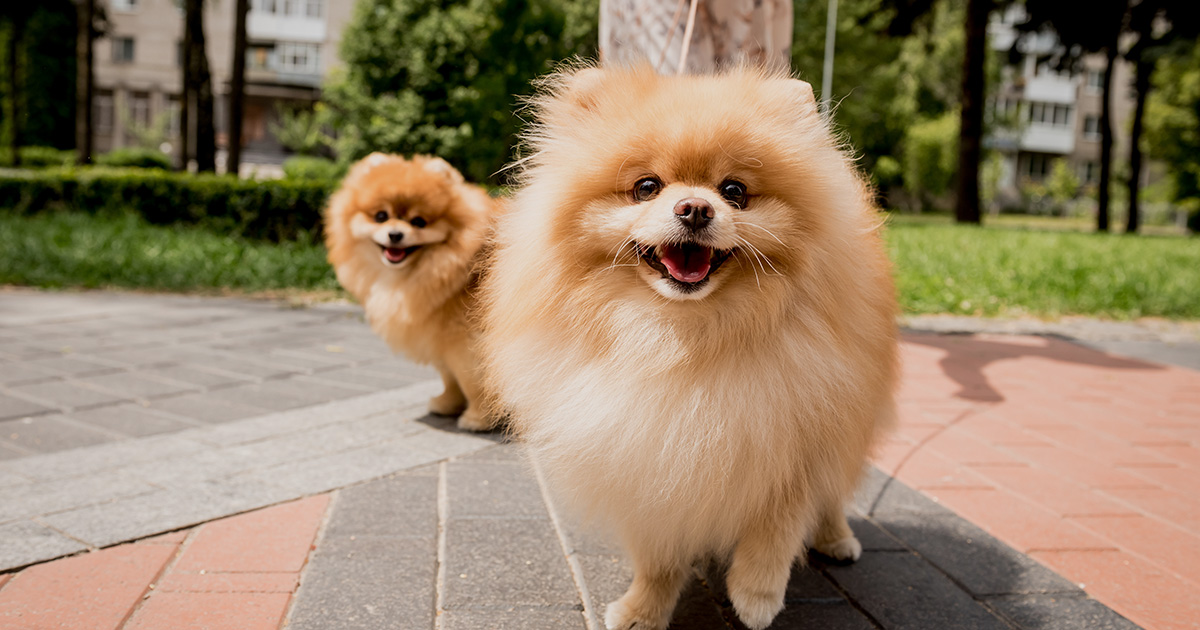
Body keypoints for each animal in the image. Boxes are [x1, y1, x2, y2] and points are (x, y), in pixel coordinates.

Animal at [321, 151, 499, 432]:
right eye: (381, 216)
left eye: (419, 222)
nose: (395, 234)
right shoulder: (437, 337)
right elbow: (450, 377)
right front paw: (446, 404)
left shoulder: (466, 341)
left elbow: (472, 382)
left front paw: (477, 419)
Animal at [477, 66, 902, 624]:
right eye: (646, 187)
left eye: (735, 191)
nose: (696, 207)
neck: (684, 336)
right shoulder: (645, 458)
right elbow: (658, 554)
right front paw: (644, 609)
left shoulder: (797, 433)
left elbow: (777, 528)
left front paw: (757, 596)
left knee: (832, 496)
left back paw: (836, 539)